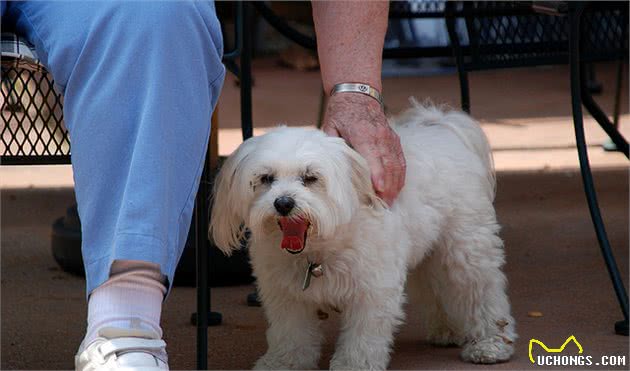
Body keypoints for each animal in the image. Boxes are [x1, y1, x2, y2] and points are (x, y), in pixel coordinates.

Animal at [212, 102, 520, 371]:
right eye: (265, 178)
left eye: (310, 178)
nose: (283, 203)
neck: (319, 251)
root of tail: (441, 127)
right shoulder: (286, 297)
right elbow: (291, 335)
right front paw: (282, 364)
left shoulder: (372, 291)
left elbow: (363, 337)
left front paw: (353, 365)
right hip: (428, 253)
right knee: (437, 287)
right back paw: (448, 330)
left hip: (465, 249)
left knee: (481, 292)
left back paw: (491, 343)